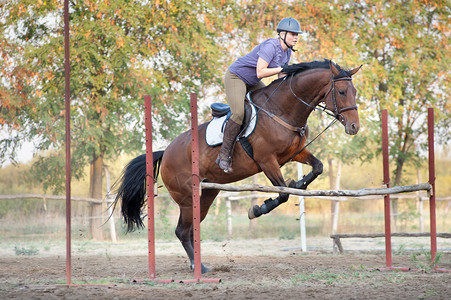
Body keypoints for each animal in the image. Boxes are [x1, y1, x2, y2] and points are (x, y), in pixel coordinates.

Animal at [115, 59, 362, 274]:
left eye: (355, 92)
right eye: (341, 92)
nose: (354, 127)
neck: (283, 110)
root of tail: (165, 152)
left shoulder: (296, 153)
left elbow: (316, 168)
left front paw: (298, 182)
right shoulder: (267, 161)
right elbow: (282, 194)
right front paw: (258, 209)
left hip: (206, 194)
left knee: (191, 229)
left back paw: (197, 264)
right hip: (186, 198)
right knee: (182, 231)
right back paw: (200, 267)